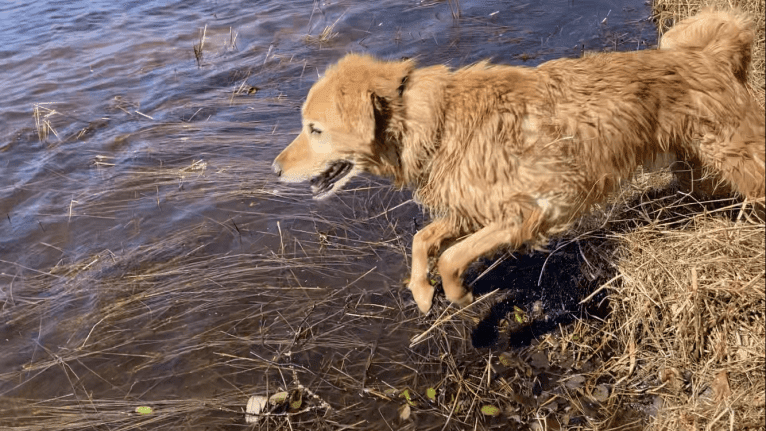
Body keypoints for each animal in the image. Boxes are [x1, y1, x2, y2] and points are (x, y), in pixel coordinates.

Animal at [272, 10, 764, 314]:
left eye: (315, 129)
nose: (274, 169)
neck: (436, 121)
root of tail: (709, 53)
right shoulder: (474, 205)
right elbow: (423, 239)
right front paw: (422, 292)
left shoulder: (533, 209)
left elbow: (450, 256)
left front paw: (457, 294)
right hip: (690, 154)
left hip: (737, 153)